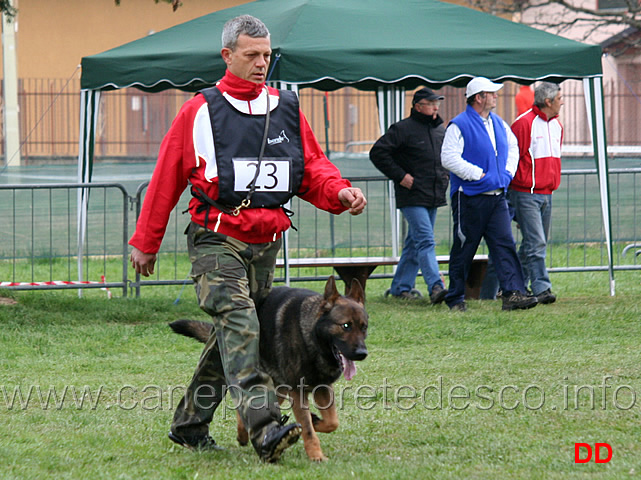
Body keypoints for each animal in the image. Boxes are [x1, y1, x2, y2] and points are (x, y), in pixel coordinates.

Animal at [168, 278, 368, 462]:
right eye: (346, 326)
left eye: (364, 327)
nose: (362, 353)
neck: (312, 336)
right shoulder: (298, 391)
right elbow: (308, 429)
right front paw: (316, 455)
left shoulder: (322, 388)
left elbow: (332, 422)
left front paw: (315, 420)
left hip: (279, 388)